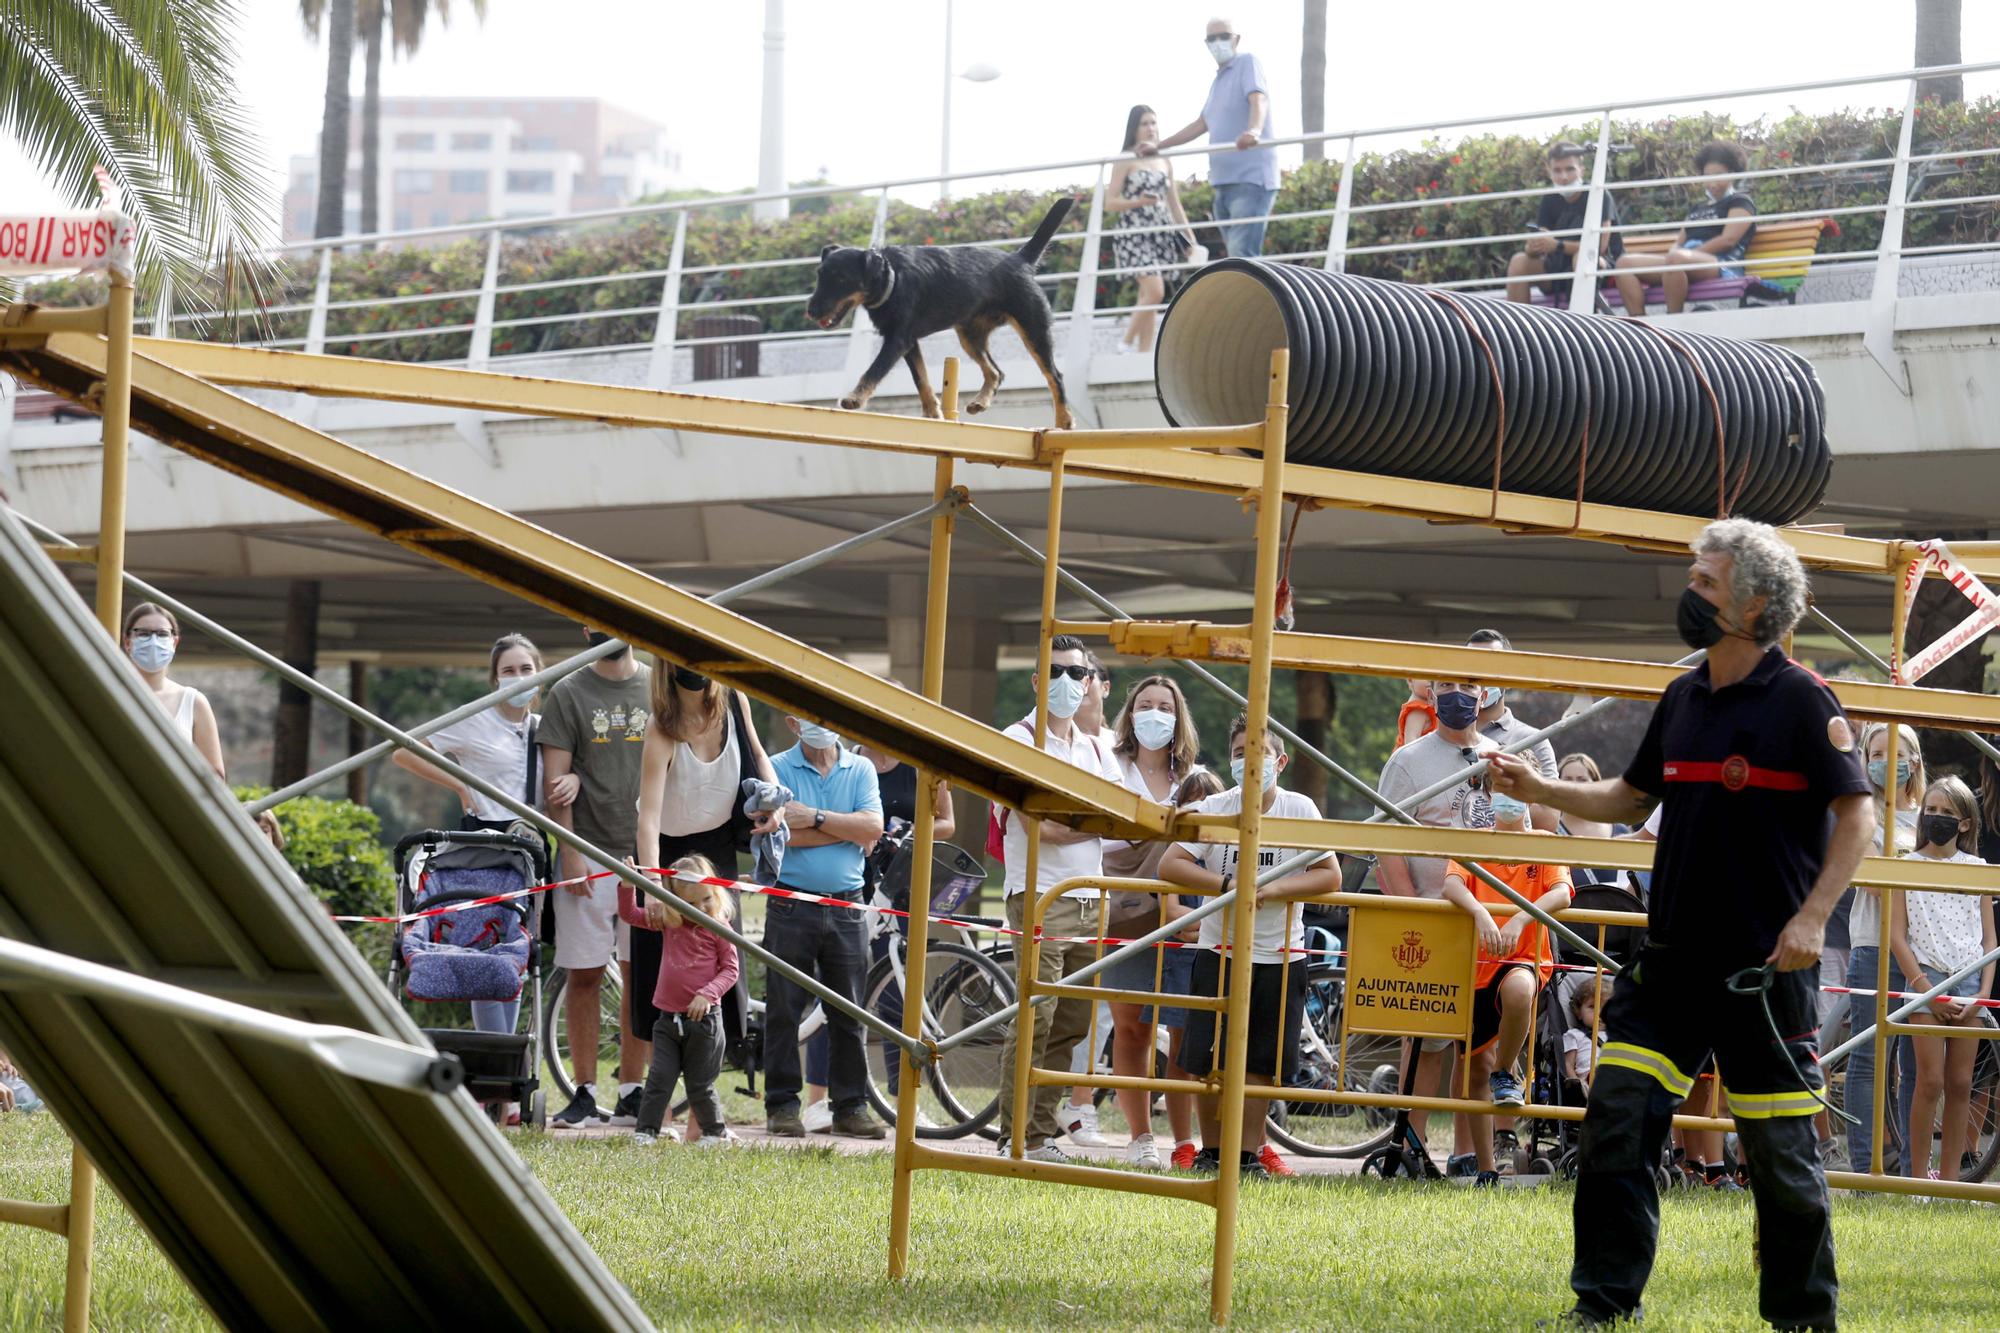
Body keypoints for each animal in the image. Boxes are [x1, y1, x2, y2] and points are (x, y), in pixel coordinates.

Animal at [800, 192, 1072, 426]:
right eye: (820, 275)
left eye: (841, 279)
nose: (811, 311)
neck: (892, 278)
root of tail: (1020, 259)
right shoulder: (909, 343)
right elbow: (921, 378)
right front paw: (933, 412)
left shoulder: (897, 341)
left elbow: (874, 370)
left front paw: (855, 398)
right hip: (970, 336)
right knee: (996, 372)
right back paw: (980, 402)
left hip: (1033, 329)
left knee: (1055, 376)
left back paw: (1064, 420)